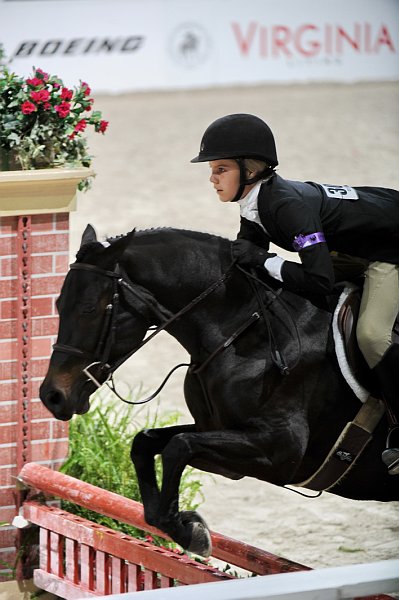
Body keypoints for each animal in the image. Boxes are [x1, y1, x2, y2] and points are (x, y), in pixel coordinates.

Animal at [39, 226, 398, 556]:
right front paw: (184, 525)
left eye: (89, 308)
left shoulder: (280, 454)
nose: (51, 396)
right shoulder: (217, 433)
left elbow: (178, 447)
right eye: (58, 302)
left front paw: (190, 531)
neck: (244, 332)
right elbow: (147, 443)